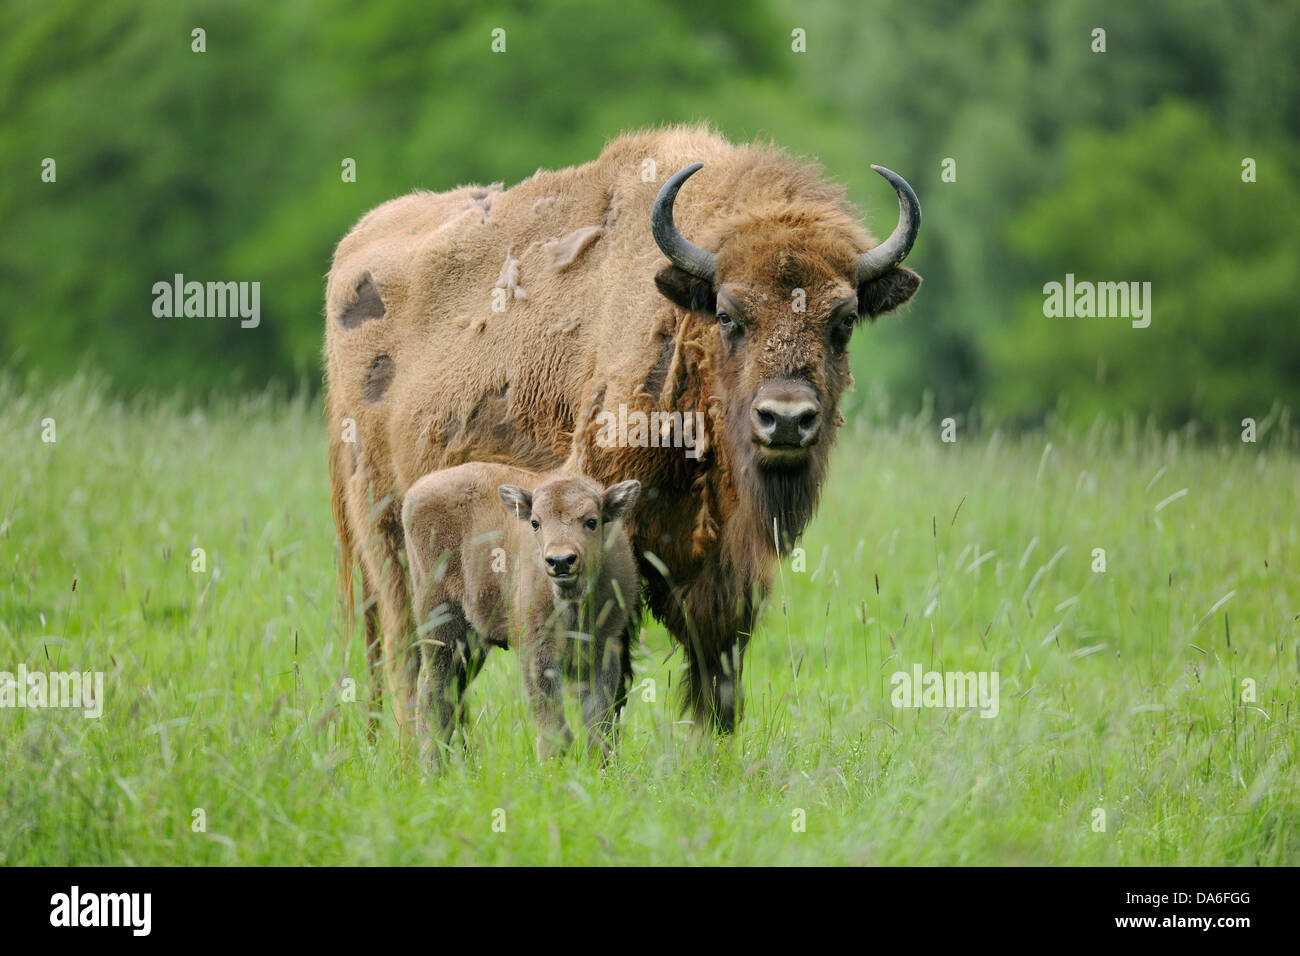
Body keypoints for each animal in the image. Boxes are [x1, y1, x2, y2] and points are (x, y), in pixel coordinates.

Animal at [397, 463, 637, 764]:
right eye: (535, 522)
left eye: (592, 521)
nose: (560, 561)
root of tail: (416, 492)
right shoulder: (538, 654)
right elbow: (552, 722)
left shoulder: (604, 651)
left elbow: (599, 722)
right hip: (441, 628)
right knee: (434, 695)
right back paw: (432, 767)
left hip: (470, 645)